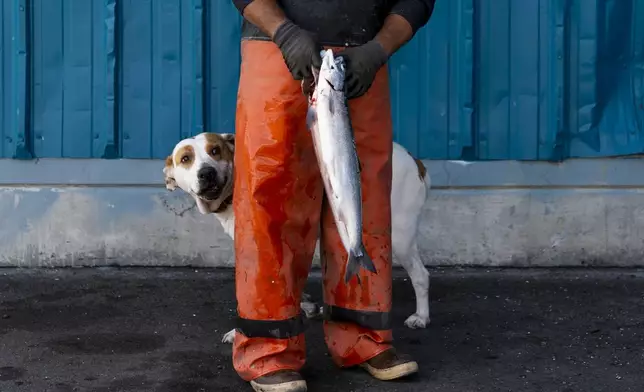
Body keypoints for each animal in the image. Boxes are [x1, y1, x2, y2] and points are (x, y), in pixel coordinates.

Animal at [164, 132, 430, 344]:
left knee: (421, 275)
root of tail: (414, 160)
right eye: (186, 159)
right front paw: (305, 306)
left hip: (400, 236)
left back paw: (421, 316)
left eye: (215, 151)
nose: (206, 173)